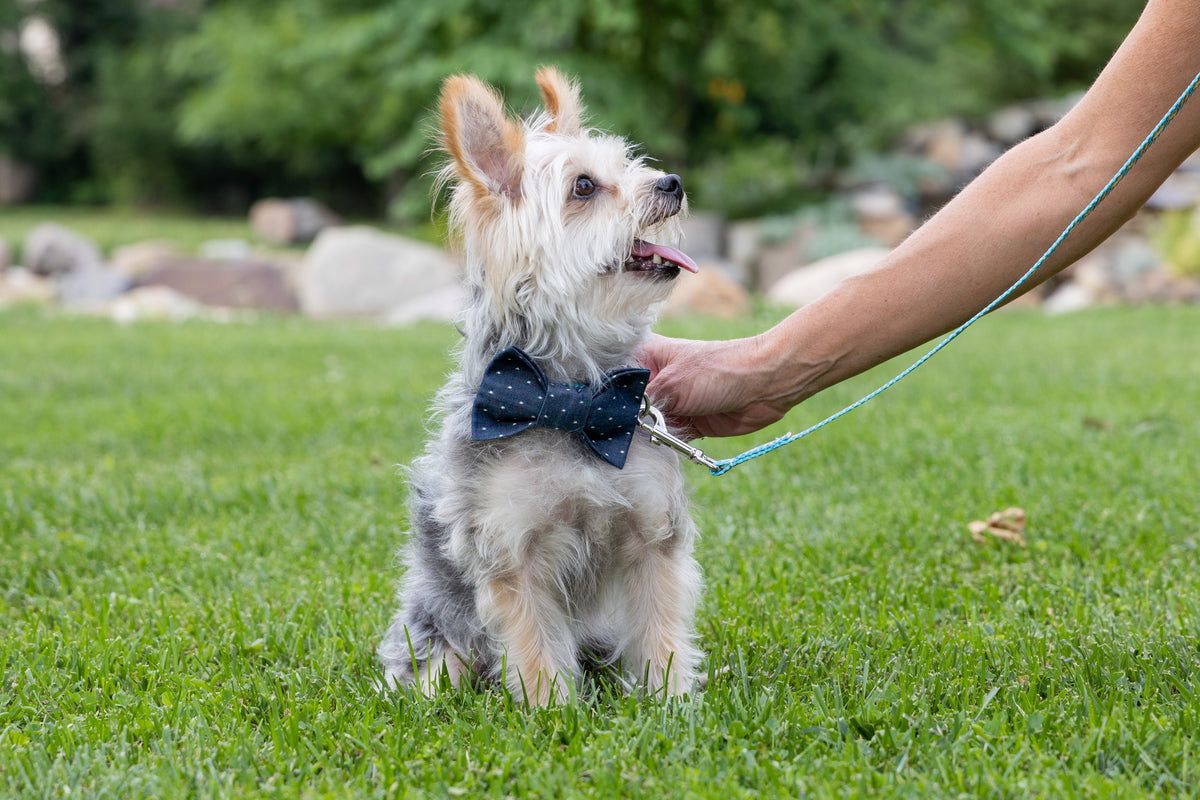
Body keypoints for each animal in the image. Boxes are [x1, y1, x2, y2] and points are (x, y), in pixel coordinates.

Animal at [379, 68, 700, 705]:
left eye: (628, 165)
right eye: (584, 187)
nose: (672, 182)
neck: (572, 402)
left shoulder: (652, 533)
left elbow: (660, 631)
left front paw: (671, 701)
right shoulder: (511, 551)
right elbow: (533, 646)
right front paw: (551, 711)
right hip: (437, 631)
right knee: (441, 667)